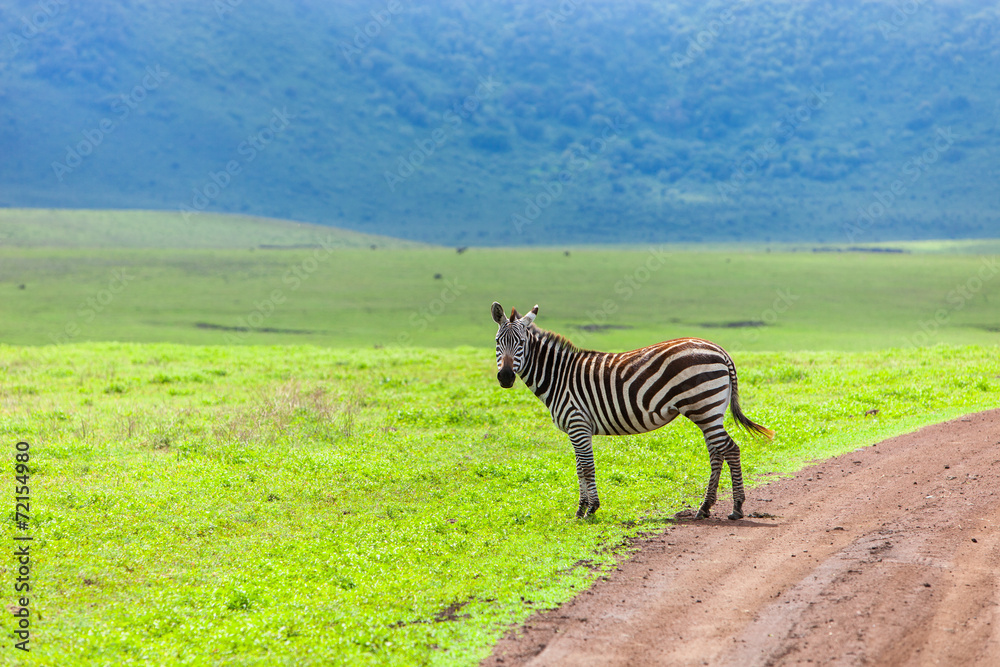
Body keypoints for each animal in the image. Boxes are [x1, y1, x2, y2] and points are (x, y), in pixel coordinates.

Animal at [491, 301, 774, 520]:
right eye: (497, 342)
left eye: (520, 342)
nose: (505, 377)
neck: (559, 376)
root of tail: (720, 350)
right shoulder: (575, 429)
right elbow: (579, 467)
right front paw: (582, 509)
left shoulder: (578, 424)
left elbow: (586, 467)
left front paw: (590, 509)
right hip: (709, 412)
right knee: (717, 453)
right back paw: (704, 508)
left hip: (704, 406)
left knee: (730, 449)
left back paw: (737, 508)